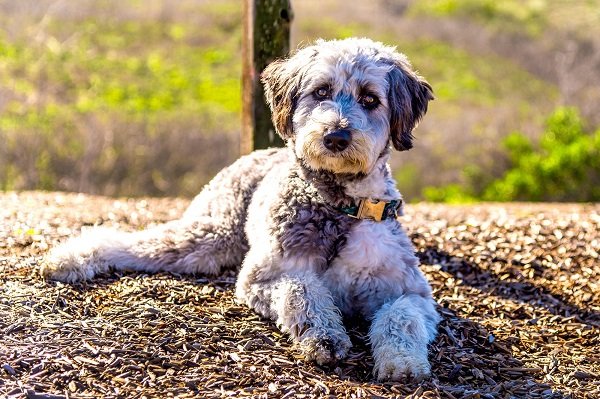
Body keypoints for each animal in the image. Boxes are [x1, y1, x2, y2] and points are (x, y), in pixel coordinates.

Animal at [41, 38, 440, 384]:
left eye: (370, 99)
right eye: (321, 91)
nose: (336, 138)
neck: (337, 204)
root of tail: (256, 153)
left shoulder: (411, 292)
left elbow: (400, 317)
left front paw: (403, 362)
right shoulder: (261, 277)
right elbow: (301, 290)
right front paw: (324, 336)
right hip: (209, 236)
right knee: (123, 240)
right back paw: (69, 258)